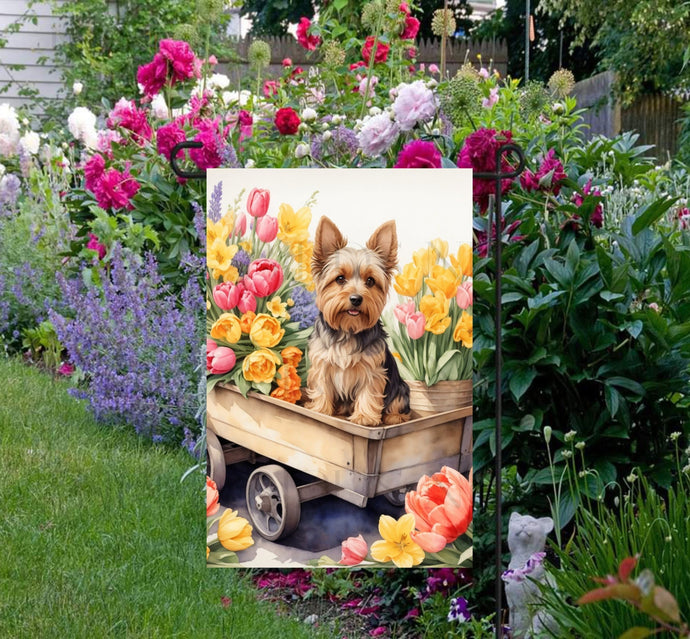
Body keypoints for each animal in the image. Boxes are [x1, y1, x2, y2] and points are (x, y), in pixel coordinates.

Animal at [302, 218, 408, 428]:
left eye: (371, 281)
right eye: (340, 278)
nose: (356, 299)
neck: (348, 329)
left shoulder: (373, 369)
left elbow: (369, 391)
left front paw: (365, 418)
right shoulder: (322, 364)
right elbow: (322, 387)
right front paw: (320, 410)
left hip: (400, 388)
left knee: (398, 405)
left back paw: (393, 417)